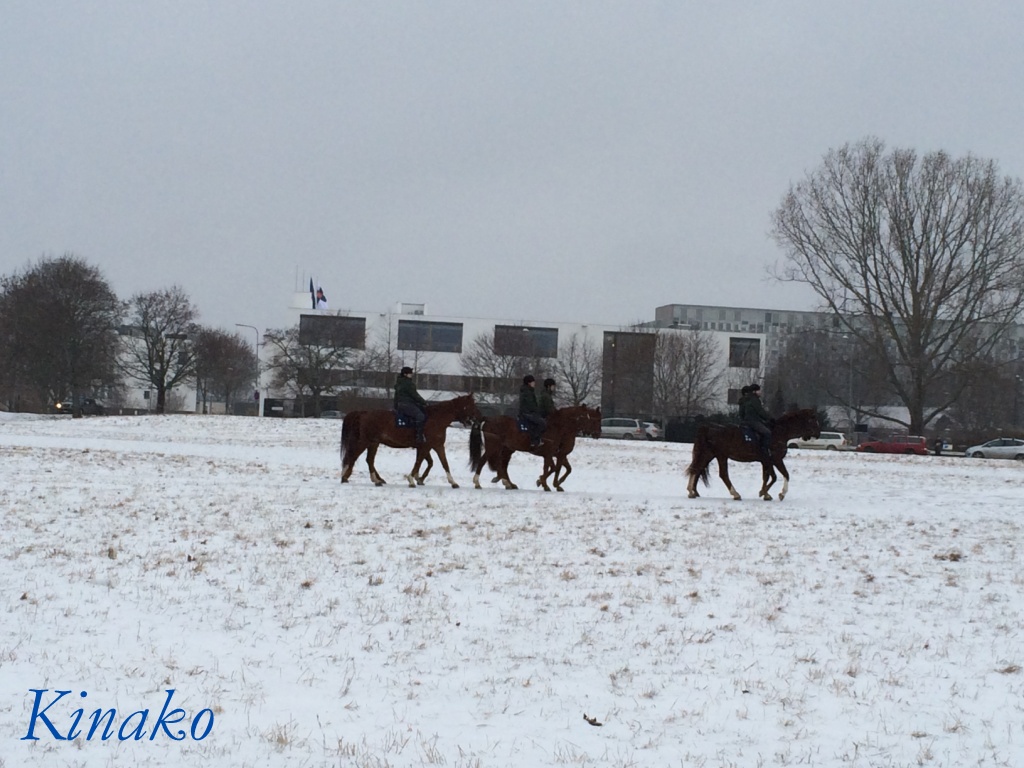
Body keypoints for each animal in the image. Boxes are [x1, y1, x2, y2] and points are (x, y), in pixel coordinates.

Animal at [337, 393, 477, 489]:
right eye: (470, 406)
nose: (473, 421)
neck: (436, 419)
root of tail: (364, 413)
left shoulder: (437, 446)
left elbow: (443, 463)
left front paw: (453, 482)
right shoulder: (426, 446)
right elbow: (419, 462)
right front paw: (411, 479)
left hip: (373, 443)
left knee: (369, 460)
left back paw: (376, 480)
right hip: (365, 441)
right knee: (353, 456)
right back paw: (346, 476)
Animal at [468, 403, 602, 493]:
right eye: (595, 421)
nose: (598, 434)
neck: (558, 427)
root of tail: (489, 418)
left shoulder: (558, 454)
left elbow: (563, 469)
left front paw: (553, 483)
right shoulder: (550, 454)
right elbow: (553, 468)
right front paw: (544, 483)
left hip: (507, 449)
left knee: (503, 465)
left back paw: (507, 482)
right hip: (493, 447)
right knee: (484, 461)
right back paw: (478, 482)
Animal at [684, 409, 819, 505]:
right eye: (812, 420)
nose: (818, 434)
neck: (779, 433)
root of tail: (708, 427)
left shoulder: (766, 461)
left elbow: (767, 476)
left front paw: (765, 493)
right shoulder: (775, 459)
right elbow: (782, 475)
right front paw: (778, 493)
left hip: (709, 454)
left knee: (696, 469)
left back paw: (692, 491)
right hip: (721, 456)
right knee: (723, 474)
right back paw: (735, 494)